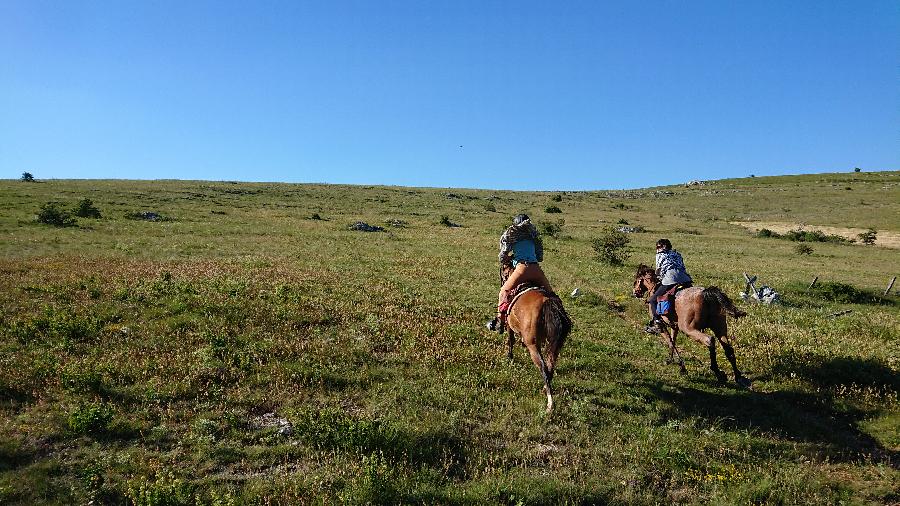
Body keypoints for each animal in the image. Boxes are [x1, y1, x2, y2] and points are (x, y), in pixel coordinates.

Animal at [500, 262, 568, 414]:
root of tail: (547, 302)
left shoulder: (509, 325)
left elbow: (510, 340)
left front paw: (509, 357)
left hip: (534, 346)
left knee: (544, 368)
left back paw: (550, 404)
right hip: (555, 346)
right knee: (550, 367)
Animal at [632, 262, 752, 390]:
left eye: (636, 280)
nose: (635, 292)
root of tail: (705, 294)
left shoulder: (663, 328)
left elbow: (670, 342)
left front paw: (681, 367)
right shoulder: (674, 326)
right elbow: (673, 342)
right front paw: (671, 360)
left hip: (689, 328)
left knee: (709, 340)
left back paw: (718, 372)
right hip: (720, 328)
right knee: (728, 349)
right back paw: (739, 377)